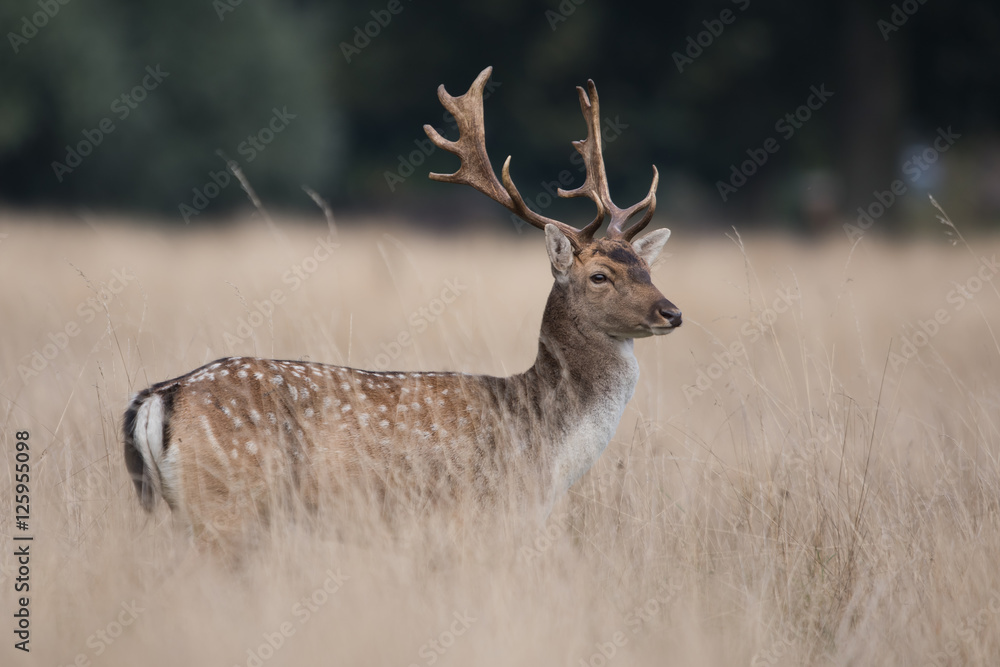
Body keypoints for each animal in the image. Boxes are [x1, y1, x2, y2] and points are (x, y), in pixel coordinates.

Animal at [122, 67, 681, 548]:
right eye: (599, 276)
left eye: (647, 268)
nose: (671, 312)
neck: (541, 441)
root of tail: (162, 397)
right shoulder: (477, 516)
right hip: (228, 505)